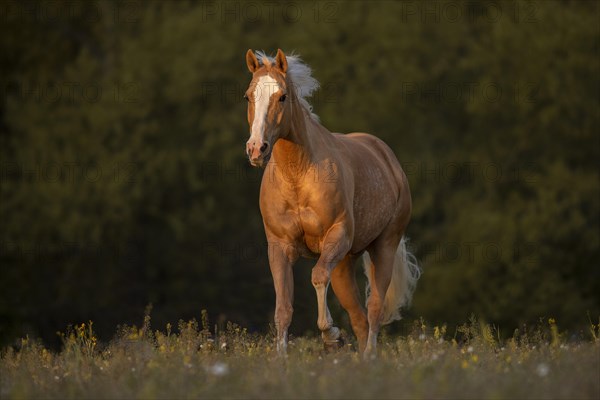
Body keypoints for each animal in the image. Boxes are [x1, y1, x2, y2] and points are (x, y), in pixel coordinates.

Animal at [241, 48, 420, 358]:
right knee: (359, 318)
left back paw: (369, 357)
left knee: (373, 311)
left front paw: (332, 337)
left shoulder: (337, 236)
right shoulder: (278, 247)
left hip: (383, 246)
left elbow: (316, 276)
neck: (298, 176)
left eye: (282, 96)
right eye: (249, 96)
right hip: (344, 263)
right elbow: (283, 308)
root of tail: (388, 158)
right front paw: (281, 359)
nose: (256, 149)